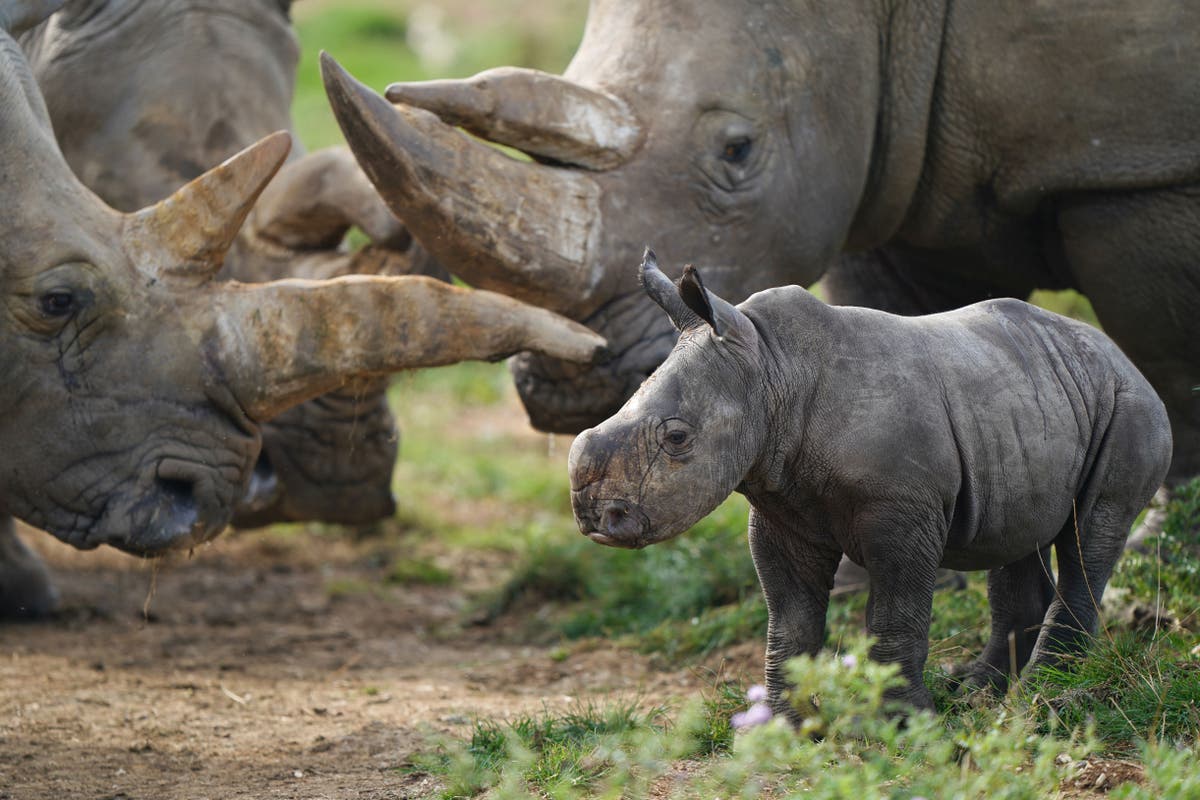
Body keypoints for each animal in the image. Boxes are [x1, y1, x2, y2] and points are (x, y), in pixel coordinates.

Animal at [320, 0, 1200, 499]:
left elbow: (1170, 356)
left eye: (738, 150)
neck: (893, 18)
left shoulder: (1144, 167)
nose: (569, 389)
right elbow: (908, 343)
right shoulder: (889, 168)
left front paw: (1167, 535)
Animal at [568, 251, 1171, 712]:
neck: (770, 370)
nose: (596, 518)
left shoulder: (902, 507)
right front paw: (788, 725)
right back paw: (981, 694)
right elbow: (790, 617)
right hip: (1031, 398)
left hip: (1127, 405)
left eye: (677, 438)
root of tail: (1121, 356)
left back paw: (1044, 691)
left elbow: (896, 612)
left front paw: (902, 721)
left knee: (1090, 533)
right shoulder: (782, 503)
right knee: (1017, 534)